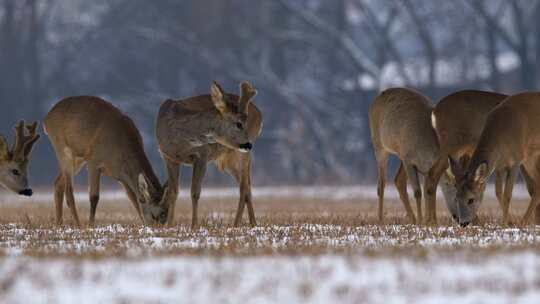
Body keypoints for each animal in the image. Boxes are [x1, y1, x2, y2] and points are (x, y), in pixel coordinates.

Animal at [44, 96, 167, 227]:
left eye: (166, 213)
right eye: (154, 215)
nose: (158, 228)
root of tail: (46, 120)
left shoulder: (122, 176)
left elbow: (133, 199)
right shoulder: (93, 162)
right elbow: (94, 197)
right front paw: (91, 225)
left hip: (78, 158)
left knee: (58, 183)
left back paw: (59, 223)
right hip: (62, 148)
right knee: (68, 190)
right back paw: (78, 224)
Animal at [155, 81, 262, 228]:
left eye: (243, 123)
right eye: (238, 124)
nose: (248, 144)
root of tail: (260, 115)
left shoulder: (202, 155)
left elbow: (195, 192)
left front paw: (194, 225)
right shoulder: (168, 157)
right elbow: (173, 191)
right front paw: (169, 225)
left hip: (238, 154)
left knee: (244, 186)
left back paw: (238, 224)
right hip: (229, 158)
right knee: (247, 186)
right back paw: (252, 223)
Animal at [368, 87, 452, 223]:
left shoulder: (426, 169)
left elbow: (430, 191)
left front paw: (430, 220)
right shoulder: (409, 160)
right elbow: (418, 191)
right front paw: (421, 221)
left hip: (401, 154)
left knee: (398, 180)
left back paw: (412, 218)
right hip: (380, 146)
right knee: (381, 183)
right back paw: (381, 219)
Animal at [454, 91, 540, 227]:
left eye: (471, 199)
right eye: (456, 198)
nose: (463, 223)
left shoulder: (516, 160)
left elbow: (507, 194)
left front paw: (504, 224)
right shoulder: (500, 165)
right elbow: (498, 192)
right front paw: (508, 222)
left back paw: (523, 222)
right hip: (530, 158)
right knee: (537, 185)